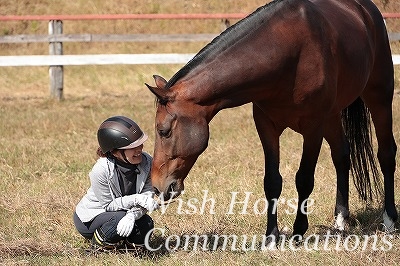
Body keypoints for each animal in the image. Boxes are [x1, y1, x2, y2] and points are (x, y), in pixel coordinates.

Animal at [145, 0, 396, 243]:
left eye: (164, 131)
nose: (157, 187)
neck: (288, 56)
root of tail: (366, 10)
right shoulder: (266, 126)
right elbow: (272, 181)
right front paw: (271, 237)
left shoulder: (313, 128)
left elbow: (304, 178)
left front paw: (298, 231)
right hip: (333, 115)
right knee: (342, 156)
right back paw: (341, 220)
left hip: (379, 97)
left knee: (386, 154)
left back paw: (390, 220)